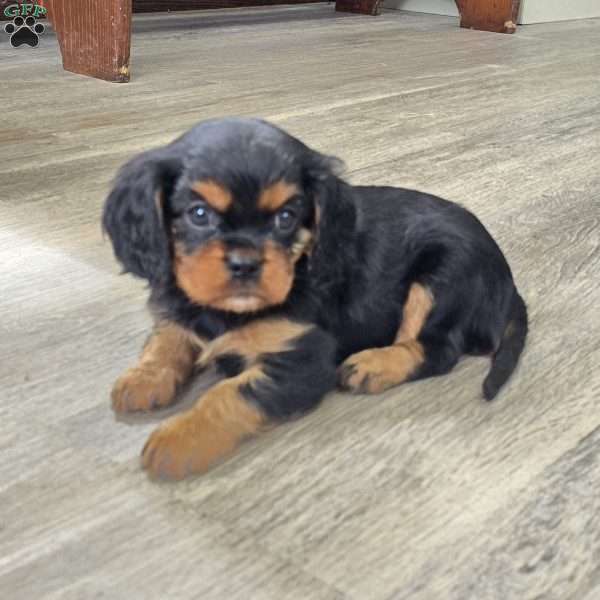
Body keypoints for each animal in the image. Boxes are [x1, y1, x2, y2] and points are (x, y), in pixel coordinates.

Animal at [103, 118, 524, 482]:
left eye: (286, 217)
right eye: (199, 213)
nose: (245, 264)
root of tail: (507, 278)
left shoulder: (303, 360)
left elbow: (231, 392)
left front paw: (180, 437)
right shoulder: (180, 308)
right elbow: (166, 338)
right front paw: (142, 379)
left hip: (441, 278)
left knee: (437, 349)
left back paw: (374, 364)